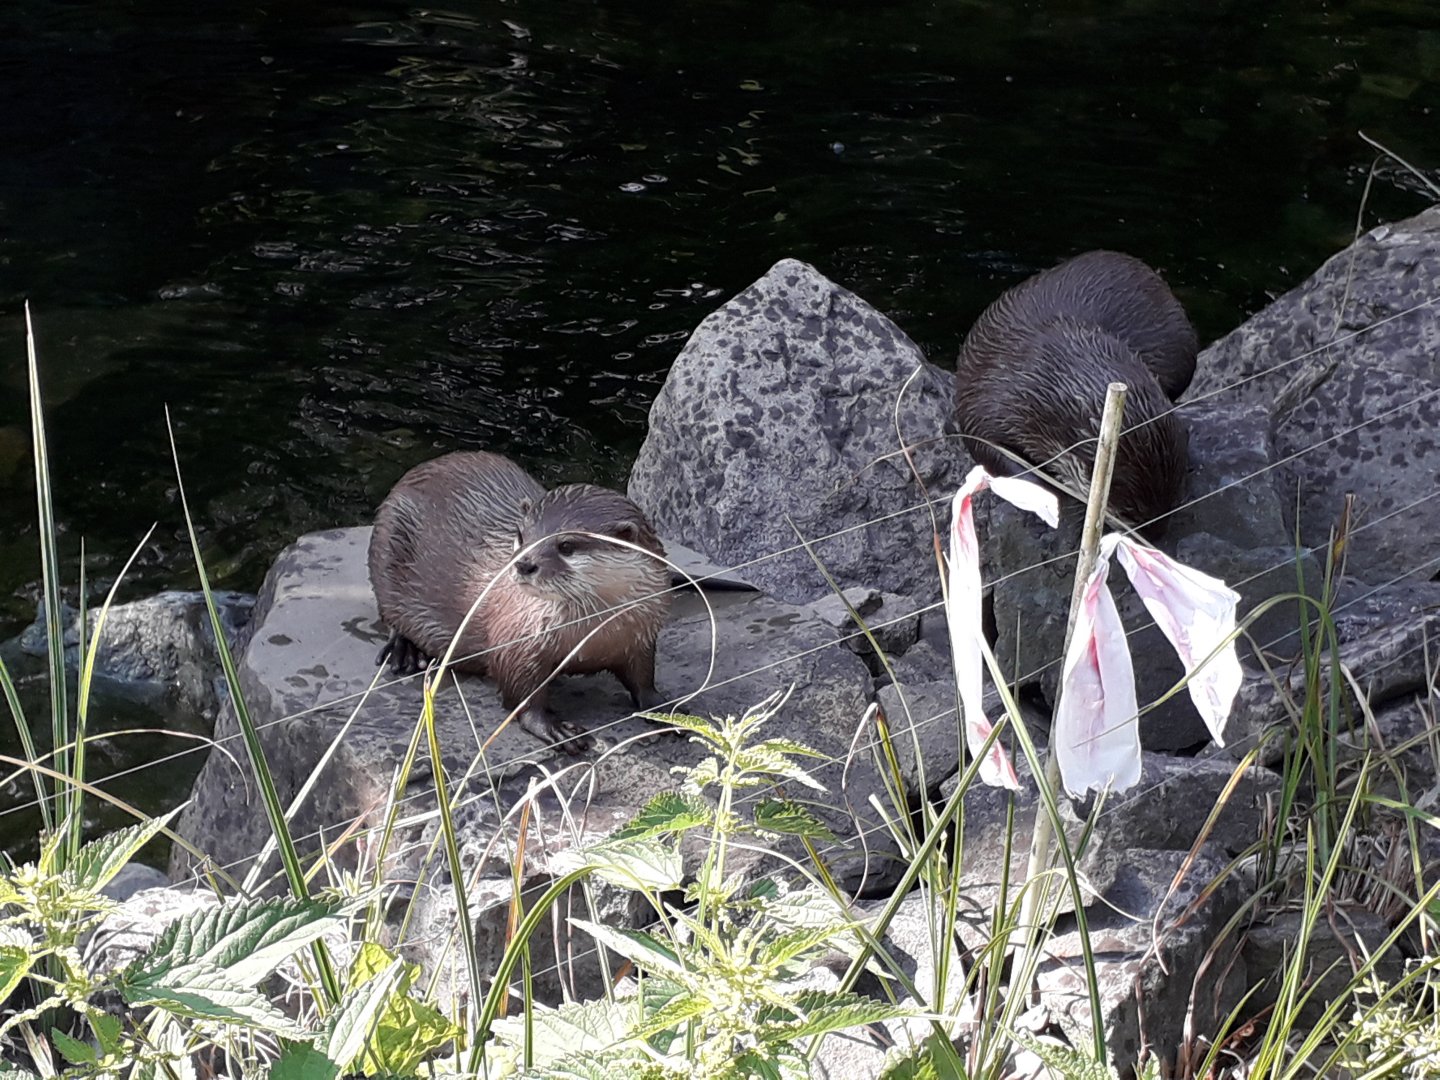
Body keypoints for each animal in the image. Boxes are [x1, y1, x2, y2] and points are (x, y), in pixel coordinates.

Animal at [368, 451, 671, 752]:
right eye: (522, 535)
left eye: (566, 546)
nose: (524, 564)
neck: (594, 635)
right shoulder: (517, 638)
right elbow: (520, 690)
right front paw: (554, 727)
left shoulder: (641, 634)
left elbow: (642, 677)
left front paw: (663, 708)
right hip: (386, 545)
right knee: (389, 613)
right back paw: (405, 651)